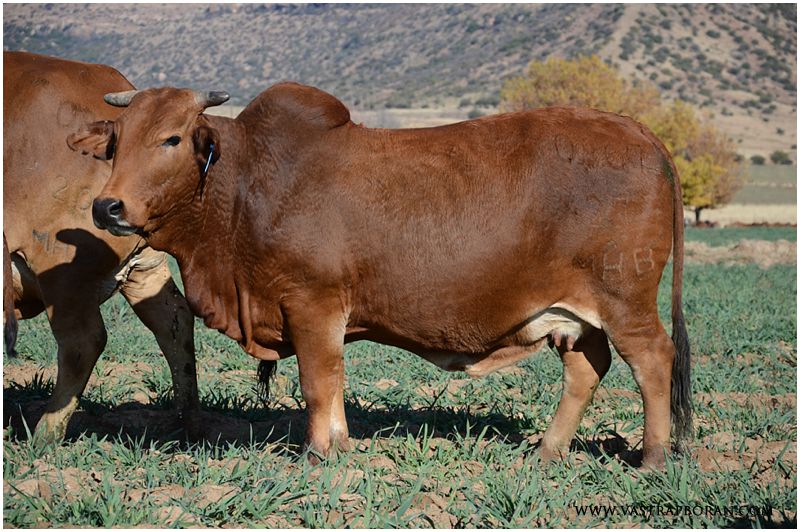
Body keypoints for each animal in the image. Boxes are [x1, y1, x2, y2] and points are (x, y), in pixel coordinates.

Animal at [3, 51, 200, 442]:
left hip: (62, 272)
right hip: (144, 267)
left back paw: (44, 434)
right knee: (175, 321)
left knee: (83, 342)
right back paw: (188, 422)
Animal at [78, 82, 692, 468]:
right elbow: (330, 384)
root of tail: (640, 133)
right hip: (575, 316)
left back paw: (653, 457)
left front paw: (319, 454)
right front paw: (340, 446)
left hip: (626, 302)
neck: (244, 183)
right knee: (588, 367)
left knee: (652, 360)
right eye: (116, 142)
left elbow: (319, 382)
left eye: (172, 138)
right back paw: (547, 450)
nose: (108, 207)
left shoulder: (313, 304)